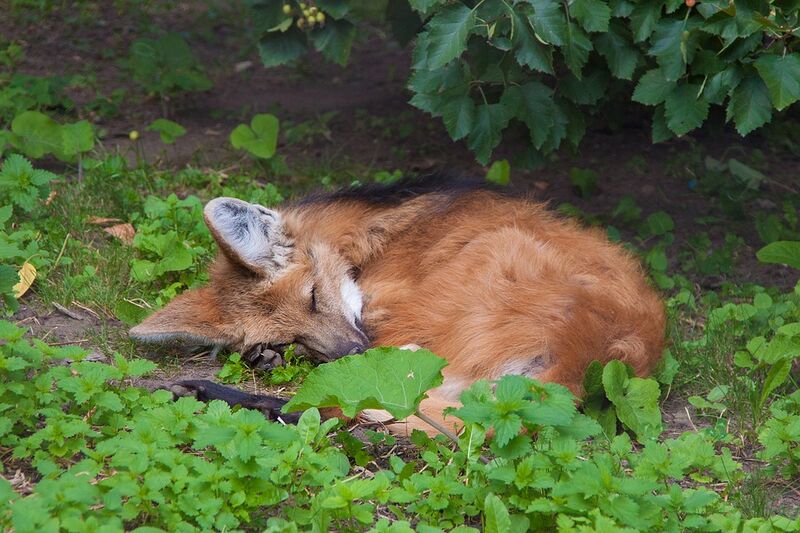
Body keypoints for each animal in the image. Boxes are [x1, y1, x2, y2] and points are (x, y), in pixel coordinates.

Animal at [130, 176, 666, 435]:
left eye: (314, 298)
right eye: (292, 334)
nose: (351, 351)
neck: (369, 238)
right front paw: (265, 357)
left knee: (344, 407)